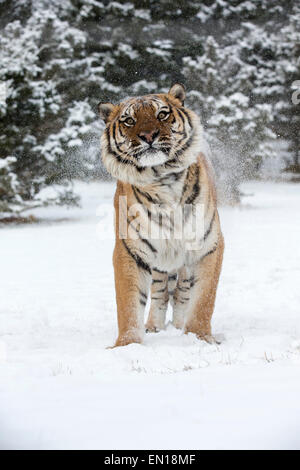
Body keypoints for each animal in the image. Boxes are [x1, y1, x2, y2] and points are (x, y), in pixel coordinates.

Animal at [98, 82, 223, 346]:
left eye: (162, 114)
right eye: (129, 120)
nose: (148, 136)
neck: (162, 178)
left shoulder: (208, 246)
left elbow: (204, 299)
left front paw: (199, 337)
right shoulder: (130, 251)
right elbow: (128, 304)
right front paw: (127, 345)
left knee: (182, 293)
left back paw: (179, 326)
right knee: (159, 293)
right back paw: (154, 326)